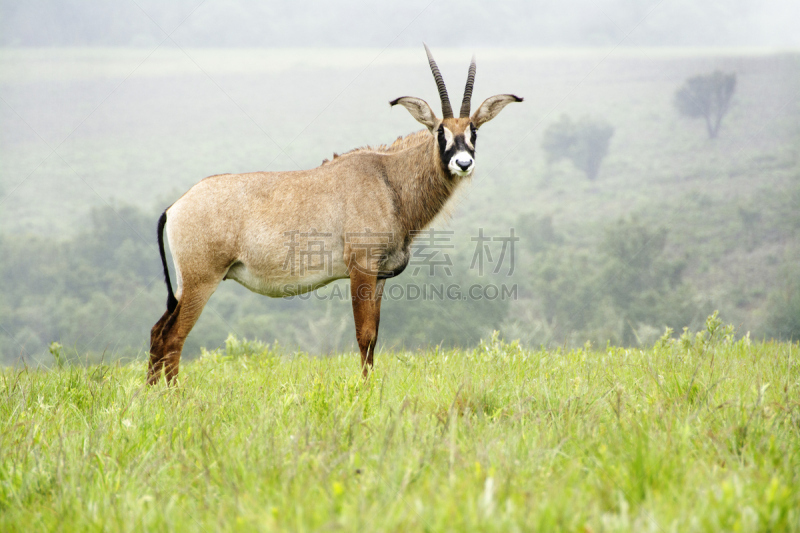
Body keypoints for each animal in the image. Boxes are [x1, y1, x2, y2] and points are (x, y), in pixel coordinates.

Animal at [149, 43, 520, 380]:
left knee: (157, 334)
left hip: (185, 286)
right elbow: (364, 336)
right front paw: (364, 392)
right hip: (201, 281)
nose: (463, 163)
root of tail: (176, 206)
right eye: (440, 132)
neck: (389, 180)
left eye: (473, 131)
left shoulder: (380, 276)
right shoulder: (361, 269)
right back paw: (175, 399)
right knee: (173, 338)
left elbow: (374, 339)